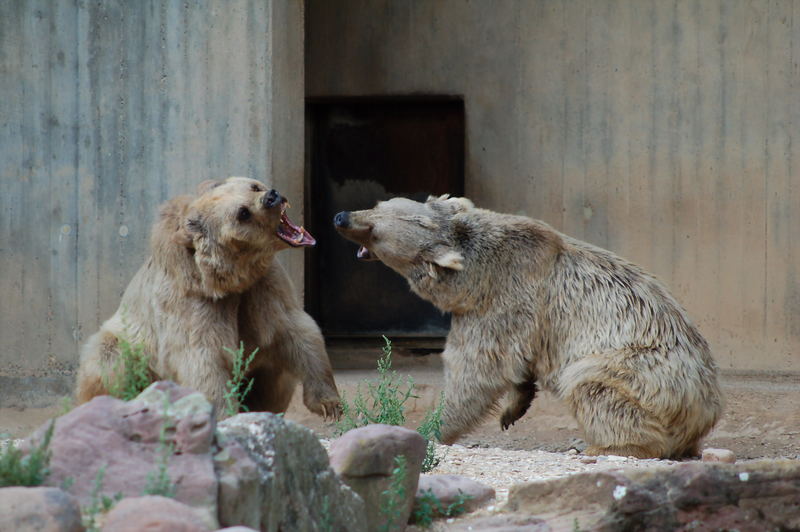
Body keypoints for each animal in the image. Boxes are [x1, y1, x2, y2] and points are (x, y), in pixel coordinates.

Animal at [79, 177, 344, 418]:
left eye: (254, 186)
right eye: (243, 213)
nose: (272, 197)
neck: (232, 278)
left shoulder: (264, 287)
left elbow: (296, 331)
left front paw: (328, 404)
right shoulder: (195, 302)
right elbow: (204, 360)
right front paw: (226, 416)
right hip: (127, 345)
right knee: (109, 363)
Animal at [334, 194, 720, 458]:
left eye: (376, 233)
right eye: (377, 205)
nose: (341, 216)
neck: (476, 273)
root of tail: (705, 412)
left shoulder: (501, 300)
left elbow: (475, 368)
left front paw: (433, 428)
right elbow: (514, 364)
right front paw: (511, 409)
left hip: (644, 373)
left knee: (593, 387)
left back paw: (600, 446)